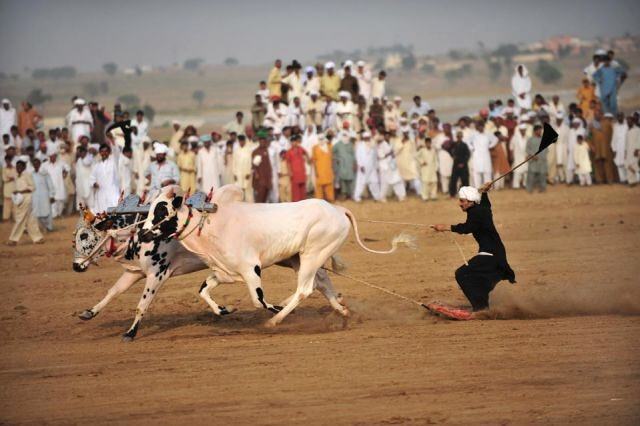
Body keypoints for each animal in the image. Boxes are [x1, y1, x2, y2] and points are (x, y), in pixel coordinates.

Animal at [139, 185, 416, 328]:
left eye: (161, 210)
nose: (142, 233)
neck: (212, 226)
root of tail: (337, 208)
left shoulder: (251, 270)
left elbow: (258, 301)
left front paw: (275, 310)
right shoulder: (223, 272)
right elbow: (203, 291)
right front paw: (224, 309)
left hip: (312, 255)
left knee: (305, 289)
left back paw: (278, 319)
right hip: (302, 259)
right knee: (322, 284)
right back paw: (343, 311)